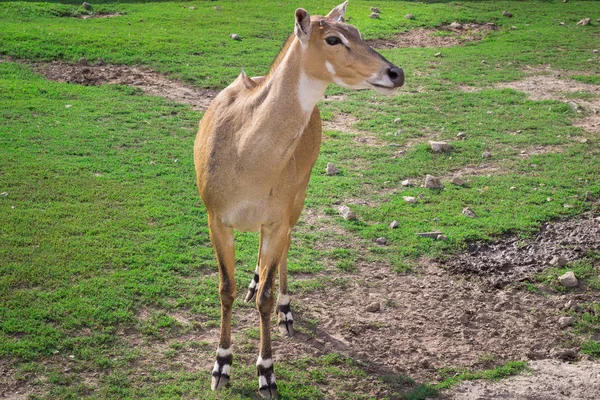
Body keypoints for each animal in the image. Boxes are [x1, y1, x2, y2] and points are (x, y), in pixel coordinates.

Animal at [195, 2, 406, 396]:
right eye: (334, 38)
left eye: (358, 31)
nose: (395, 72)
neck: (247, 162)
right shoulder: (215, 216)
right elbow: (225, 289)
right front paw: (221, 367)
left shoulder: (278, 216)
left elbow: (265, 295)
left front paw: (266, 373)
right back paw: (254, 282)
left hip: (300, 193)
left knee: (285, 250)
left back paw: (285, 310)